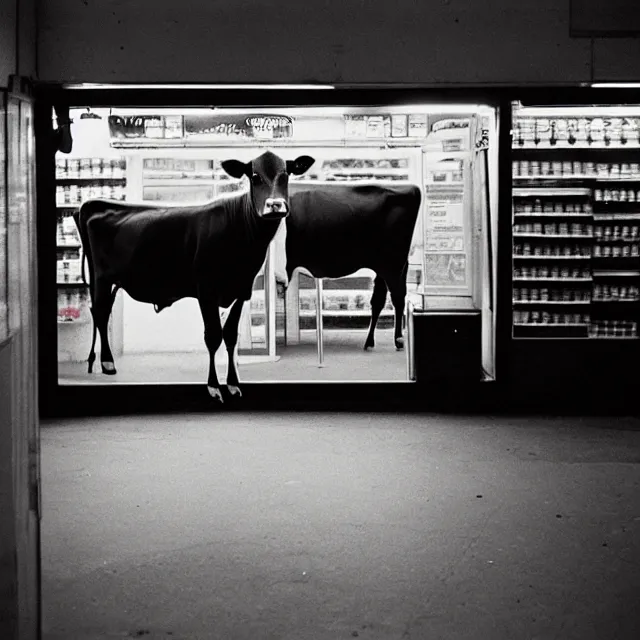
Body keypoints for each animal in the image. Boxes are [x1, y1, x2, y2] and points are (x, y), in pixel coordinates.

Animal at [74, 150, 316, 400]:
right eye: (255, 176)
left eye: (286, 174)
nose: (275, 205)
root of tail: (94, 205)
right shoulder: (206, 290)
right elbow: (213, 336)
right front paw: (213, 386)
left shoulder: (241, 290)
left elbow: (230, 336)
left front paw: (232, 383)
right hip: (102, 278)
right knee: (101, 313)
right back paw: (107, 362)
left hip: (109, 281)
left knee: (100, 311)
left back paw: (97, 362)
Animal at [282, 180, 424, 350]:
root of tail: (411, 187)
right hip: (383, 266)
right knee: (379, 300)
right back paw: (370, 341)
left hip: (393, 265)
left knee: (398, 298)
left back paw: (398, 340)